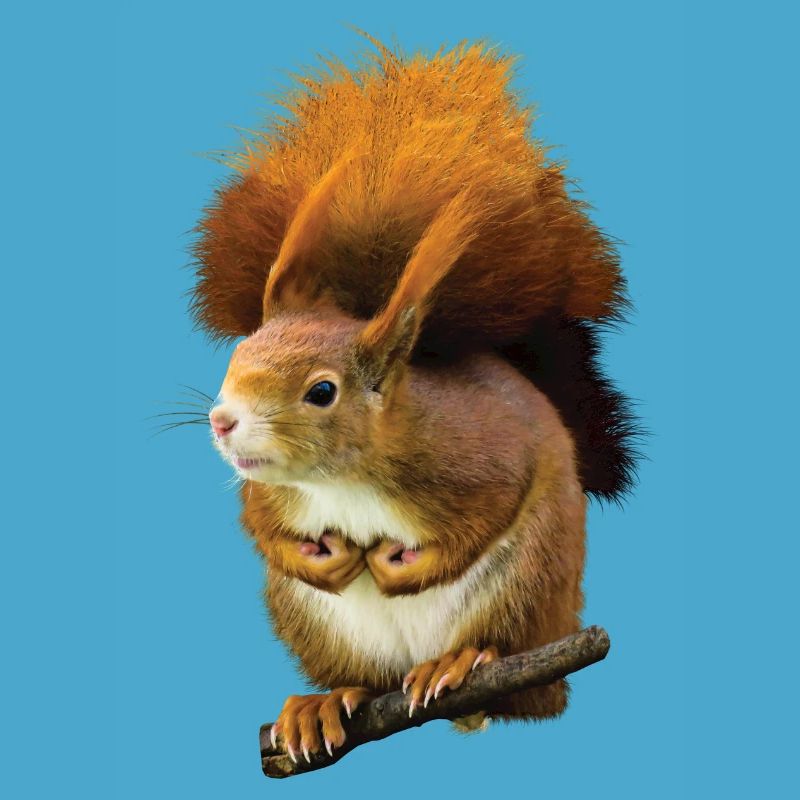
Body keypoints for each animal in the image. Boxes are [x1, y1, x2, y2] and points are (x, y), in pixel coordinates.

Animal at [191, 33, 640, 762]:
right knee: (366, 680)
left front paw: (397, 567)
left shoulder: (480, 457)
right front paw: (323, 559)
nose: (223, 422)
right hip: (317, 628)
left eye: (322, 391)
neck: (341, 479)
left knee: (514, 674)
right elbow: (261, 526)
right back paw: (326, 702)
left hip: (525, 590)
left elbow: (485, 514)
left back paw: (459, 663)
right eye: (237, 356)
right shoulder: (269, 493)